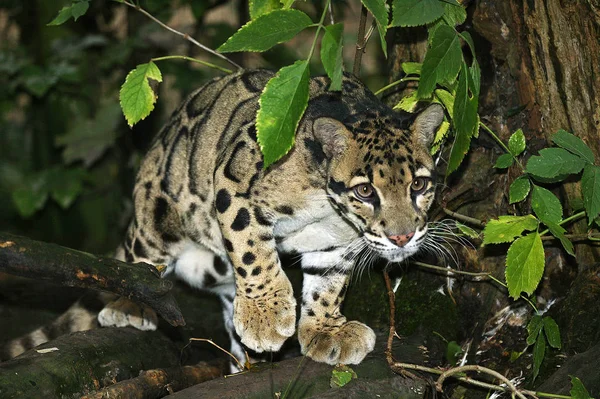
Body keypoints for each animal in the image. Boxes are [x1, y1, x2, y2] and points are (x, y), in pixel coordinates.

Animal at [2, 69, 442, 368]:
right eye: (366, 191)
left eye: (419, 184)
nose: (403, 238)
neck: (327, 205)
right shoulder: (234, 180)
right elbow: (252, 250)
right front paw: (266, 315)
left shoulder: (334, 240)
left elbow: (327, 282)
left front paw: (324, 329)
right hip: (157, 218)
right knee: (135, 263)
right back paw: (133, 306)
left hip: (214, 265)